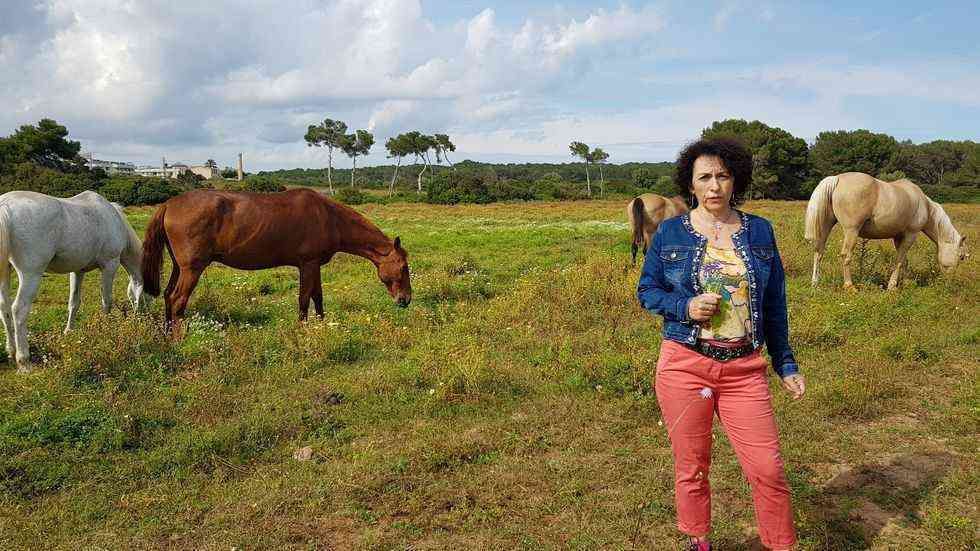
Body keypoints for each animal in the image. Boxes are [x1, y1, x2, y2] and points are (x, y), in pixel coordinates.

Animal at [0, 190, 146, 372]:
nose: (145, 318)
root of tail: (5, 204)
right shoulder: (110, 265)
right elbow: (107, 301)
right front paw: (106, 329)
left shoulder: (77, 271)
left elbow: (74, 302)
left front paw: (69, 331)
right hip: (31, 275)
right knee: (19, 310)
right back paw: (24, 361)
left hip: (5, 272)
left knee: (4, 308)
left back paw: (11, 351)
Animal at [141, 188, 412, 334]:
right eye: (403, 267)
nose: (406, 300)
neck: (329, 217)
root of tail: (168, 204)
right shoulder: (307, 264)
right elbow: (304, 299)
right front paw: (303, 330)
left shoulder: (314, 265)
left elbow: (318, 297)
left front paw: (322, 326)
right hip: (192, 269)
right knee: (178, 300)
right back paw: (179, 338)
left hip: (179, 267)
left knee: (168, 296)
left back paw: (167, 334)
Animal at [804, 172, 969, 290]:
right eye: (961, 257)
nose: (949, 282)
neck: (925, 206)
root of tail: (837, 179)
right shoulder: (910, 235)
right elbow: (900, 261)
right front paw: (892, 286)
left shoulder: (898, 237)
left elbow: (904, 261)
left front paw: (904, 283)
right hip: (851, 231)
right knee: (846, 255)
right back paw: (849, 286)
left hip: (826, 227)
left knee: (818, 252)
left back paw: (815, 283)